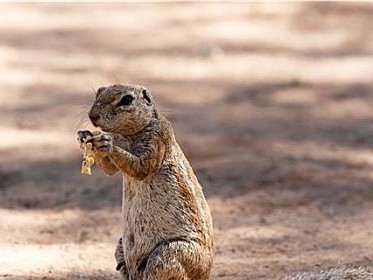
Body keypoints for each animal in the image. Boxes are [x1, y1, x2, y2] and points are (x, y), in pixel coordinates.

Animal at [77, 84, 214, 278]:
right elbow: (110, 170)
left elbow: (141, 167)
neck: (128, 134)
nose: (92, 116)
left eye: (127, 99)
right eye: (99, 91)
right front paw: (85, 135)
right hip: (121, 245)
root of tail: (205, 275)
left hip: (168, 254)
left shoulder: (158, 137)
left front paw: (105, 142)